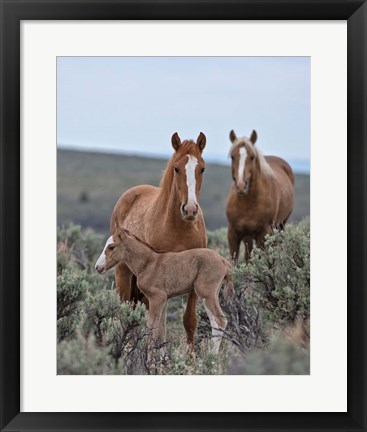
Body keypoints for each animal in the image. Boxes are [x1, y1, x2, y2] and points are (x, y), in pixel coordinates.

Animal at [95, 228, 233, 352]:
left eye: (111, 247)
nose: (97, 267)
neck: (148, 264)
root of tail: (223, 261)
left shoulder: (157, 298)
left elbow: (152, 329)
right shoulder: (165, 300)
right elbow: (161, 332)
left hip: (206, 293)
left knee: (220, 321)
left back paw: (212, 357)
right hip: (212, 294)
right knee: (217, 322)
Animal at [109, 133, 207, 346]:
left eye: (202, 168)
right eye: (176, 168)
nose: (190, 210)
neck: (180, 229)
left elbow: (189, 320)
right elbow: (155, 325)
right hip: (123, 274)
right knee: (126, 314)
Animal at [227, 130, 296, 262]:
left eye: (252, 157)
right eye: (232, 156)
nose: (241, 186)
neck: (247, 204)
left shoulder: (263, 234)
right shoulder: (234, 234)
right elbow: (236, 261)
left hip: (280, 226)